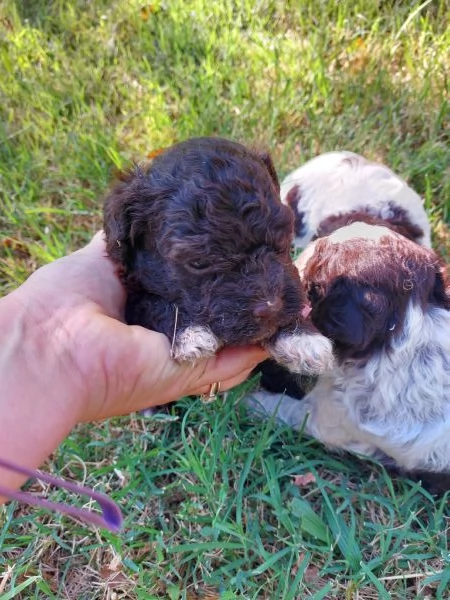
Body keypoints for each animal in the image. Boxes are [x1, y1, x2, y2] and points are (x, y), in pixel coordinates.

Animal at [103, 138, 332, 376]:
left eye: (284, 235)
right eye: (198, 262)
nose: (271, 307)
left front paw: (302, 337)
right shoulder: (133, 295)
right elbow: (150, 303)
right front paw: (189, 333)